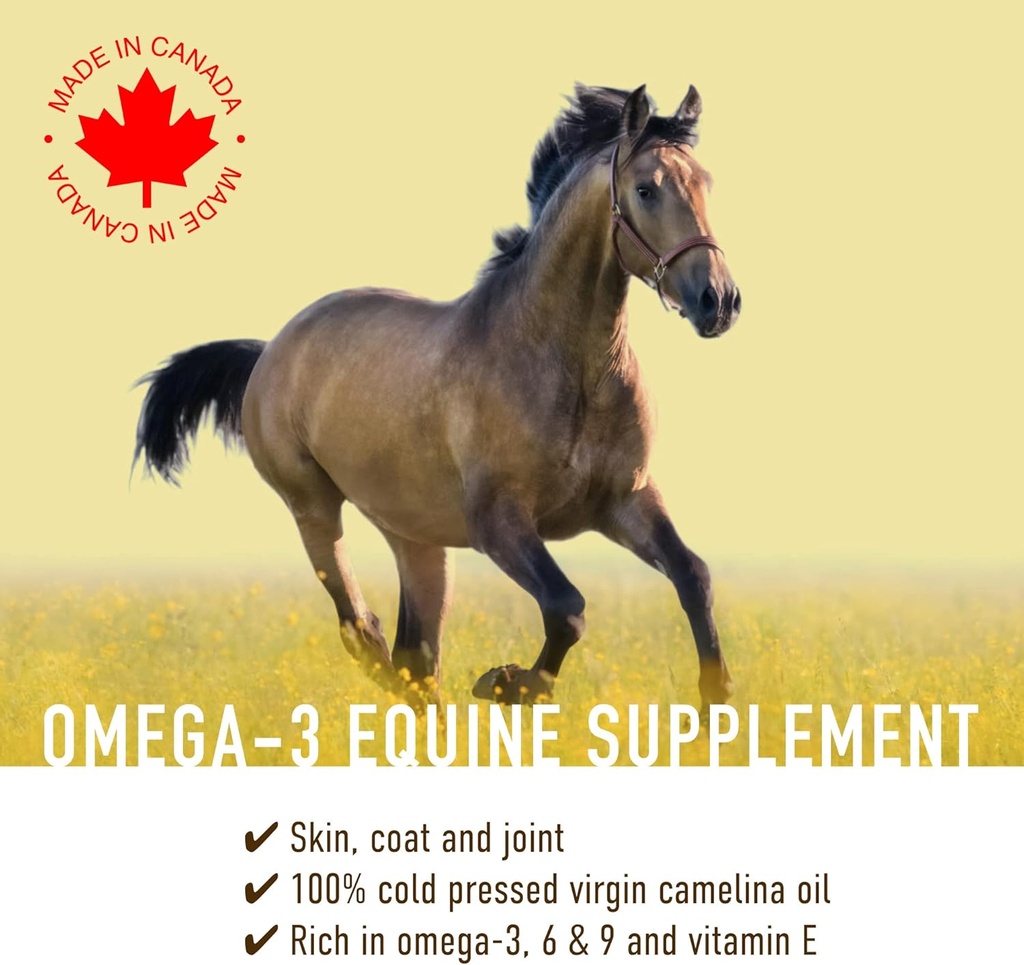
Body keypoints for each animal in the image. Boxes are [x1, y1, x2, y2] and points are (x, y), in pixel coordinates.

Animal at [134, 84, 741, 710]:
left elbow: (694, 576)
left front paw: (715, 699)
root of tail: (270, 351)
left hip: (414, 537)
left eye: (705, 183)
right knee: (363, 631)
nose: (718, 301)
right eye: (646, 189)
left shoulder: (627, 500)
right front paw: (506, 682)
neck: (570, 369)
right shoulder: (499, 522)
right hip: (313, 507)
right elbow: (567, 608)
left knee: (417, 656)